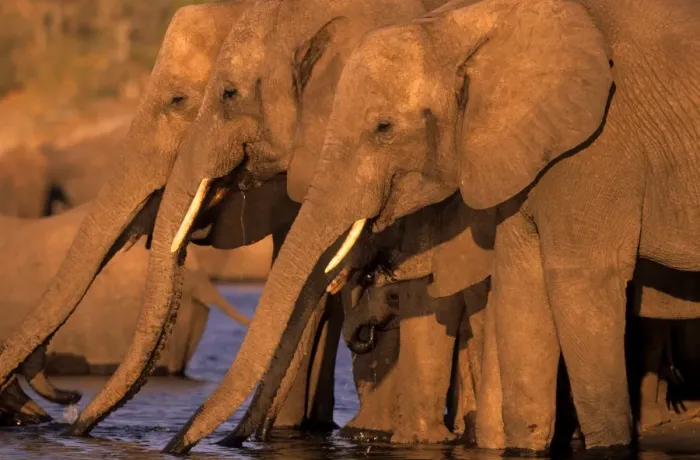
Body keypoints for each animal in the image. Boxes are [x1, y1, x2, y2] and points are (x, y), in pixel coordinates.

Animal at [167, 0, 699, 454]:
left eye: (383, 128)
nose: (181, 446)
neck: (464, 27)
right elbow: (521, 293)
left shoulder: (600, 147)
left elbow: (578, 284)